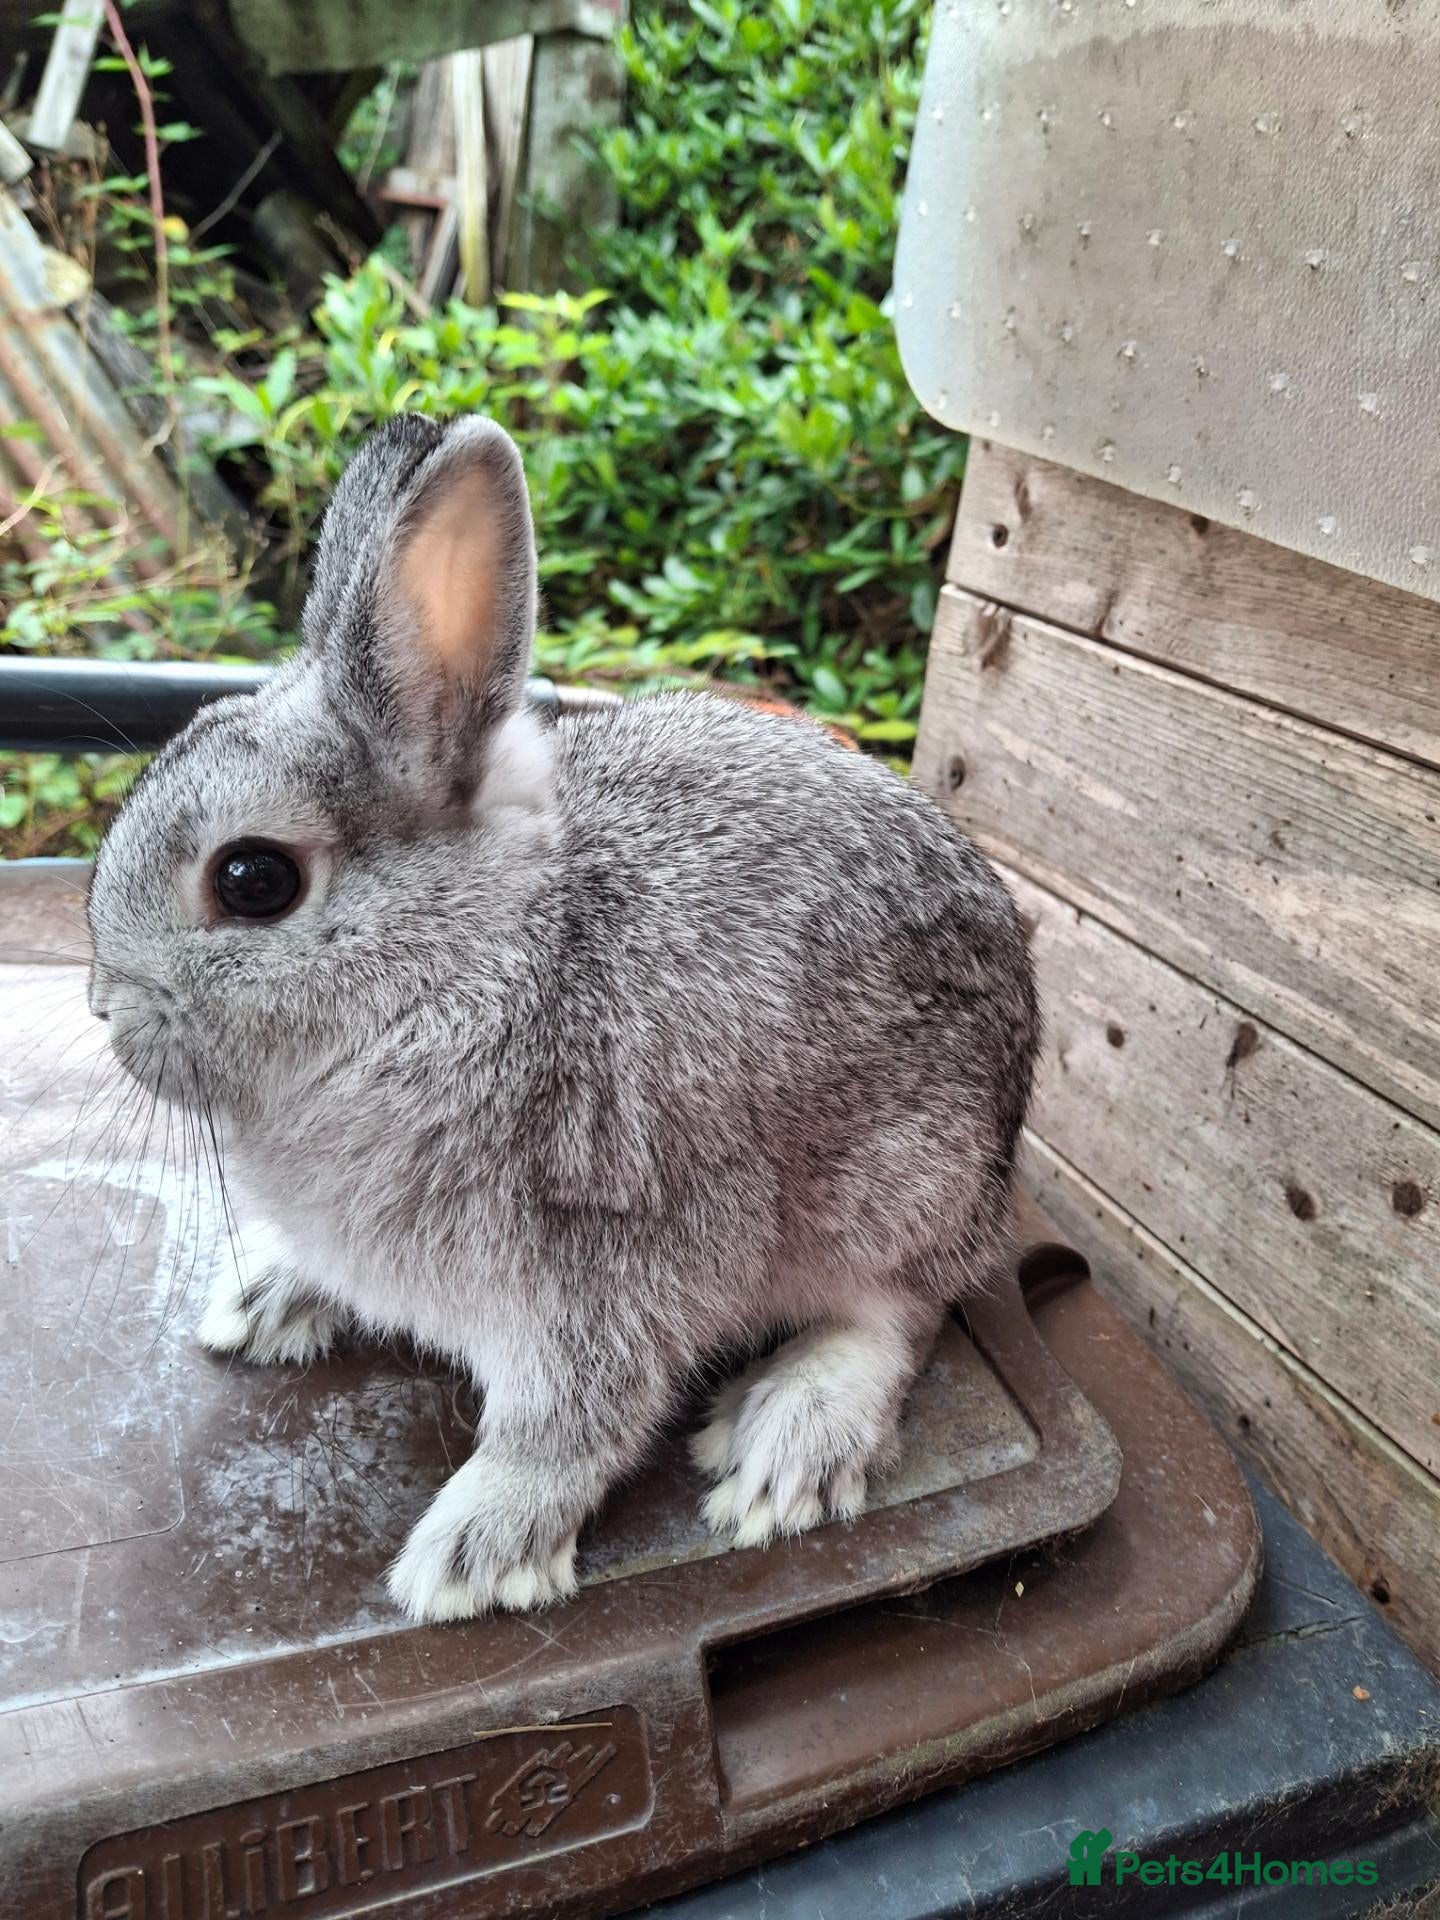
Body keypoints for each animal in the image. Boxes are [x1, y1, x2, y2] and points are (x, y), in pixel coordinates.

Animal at [86, 413, 1040, 1623]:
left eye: (253, 880)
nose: (104, 1005)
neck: (458, 967)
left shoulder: (599, 1277)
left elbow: (565, 1426)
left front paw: (472, 1557)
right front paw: (268, 1293)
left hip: (901, 1177)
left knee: (902, 1311)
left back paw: (788, 1440)